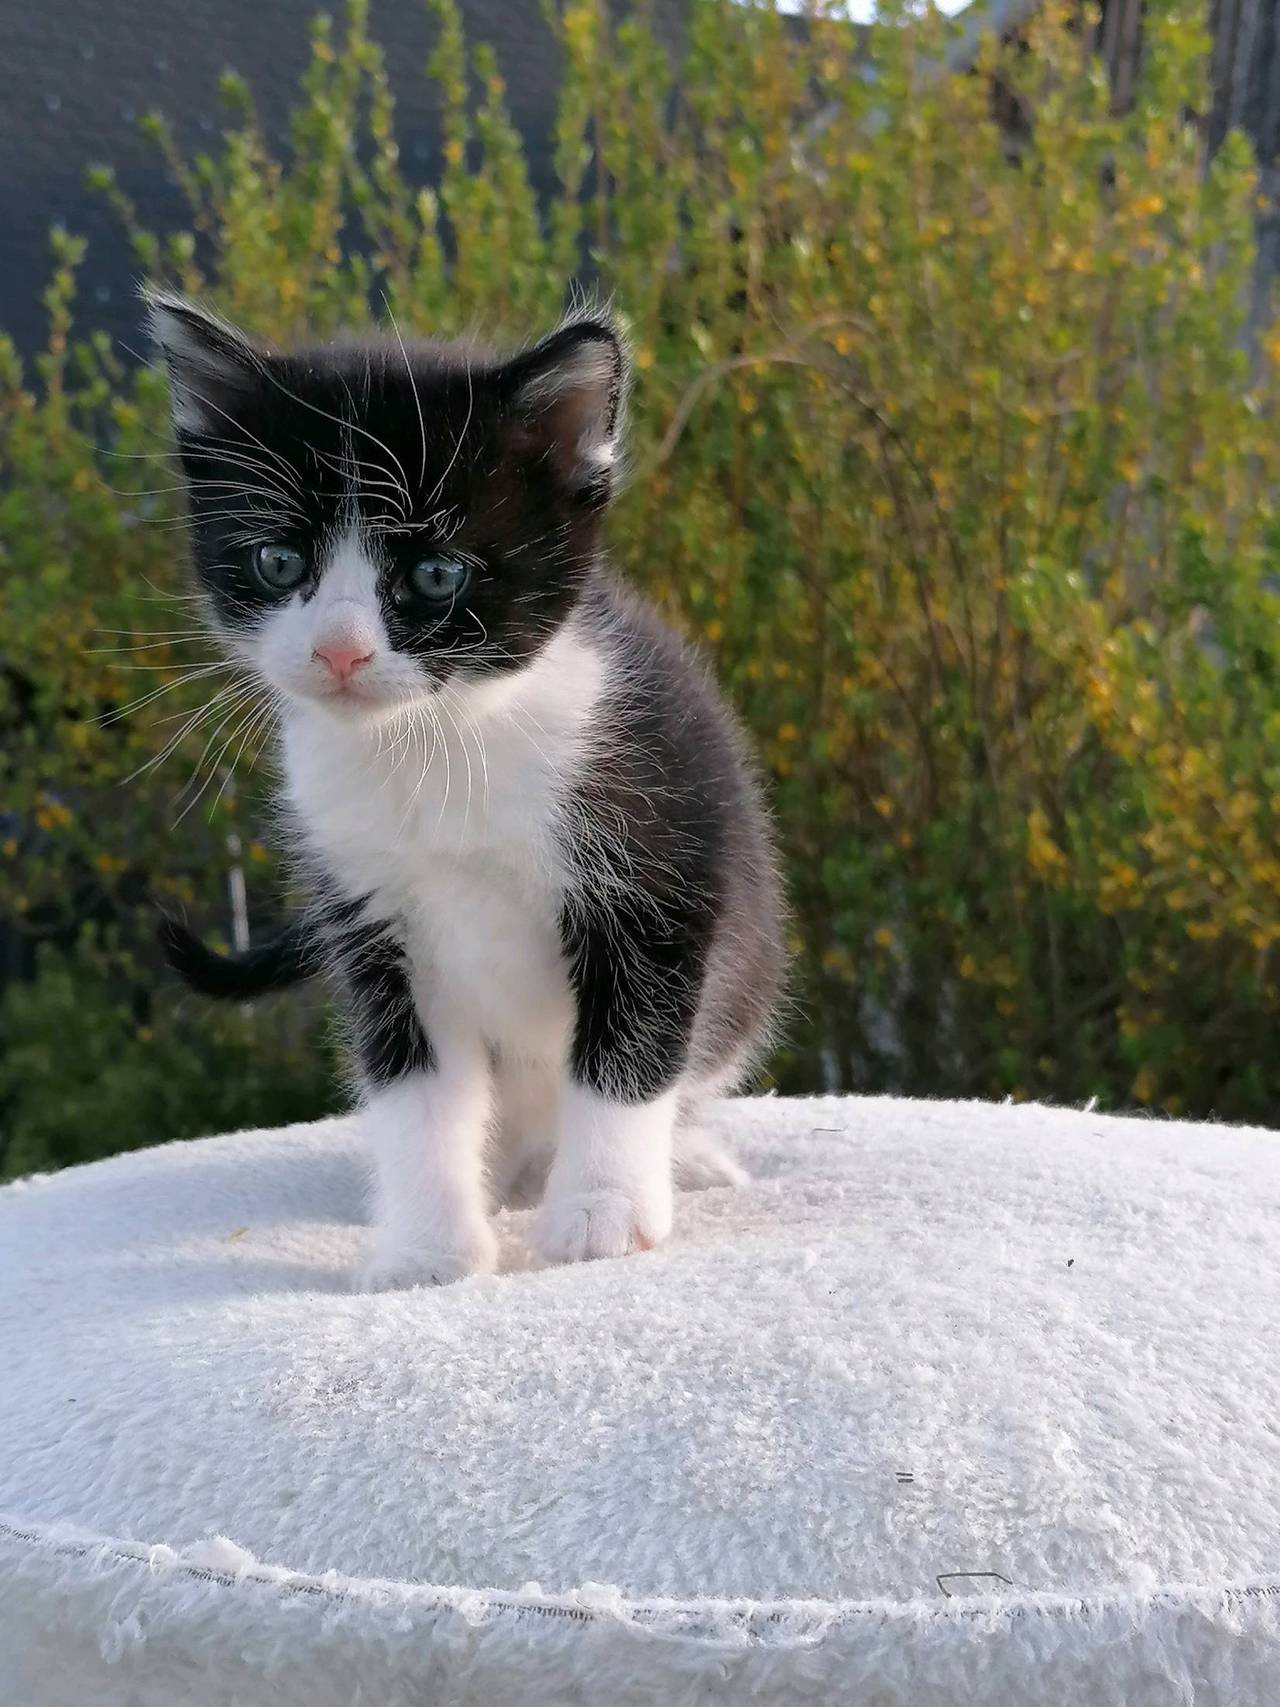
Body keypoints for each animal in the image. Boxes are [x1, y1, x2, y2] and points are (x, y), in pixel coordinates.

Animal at [145, 290, 788, 1283]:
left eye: (436, 574)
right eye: (279, 562)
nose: (340, 650)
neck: (434, 746)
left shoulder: (660, 856)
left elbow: (628, 1049)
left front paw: (602, 1215)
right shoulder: (371, 915)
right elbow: (416, 1088)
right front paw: (427, 1248)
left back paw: (670, 1160)